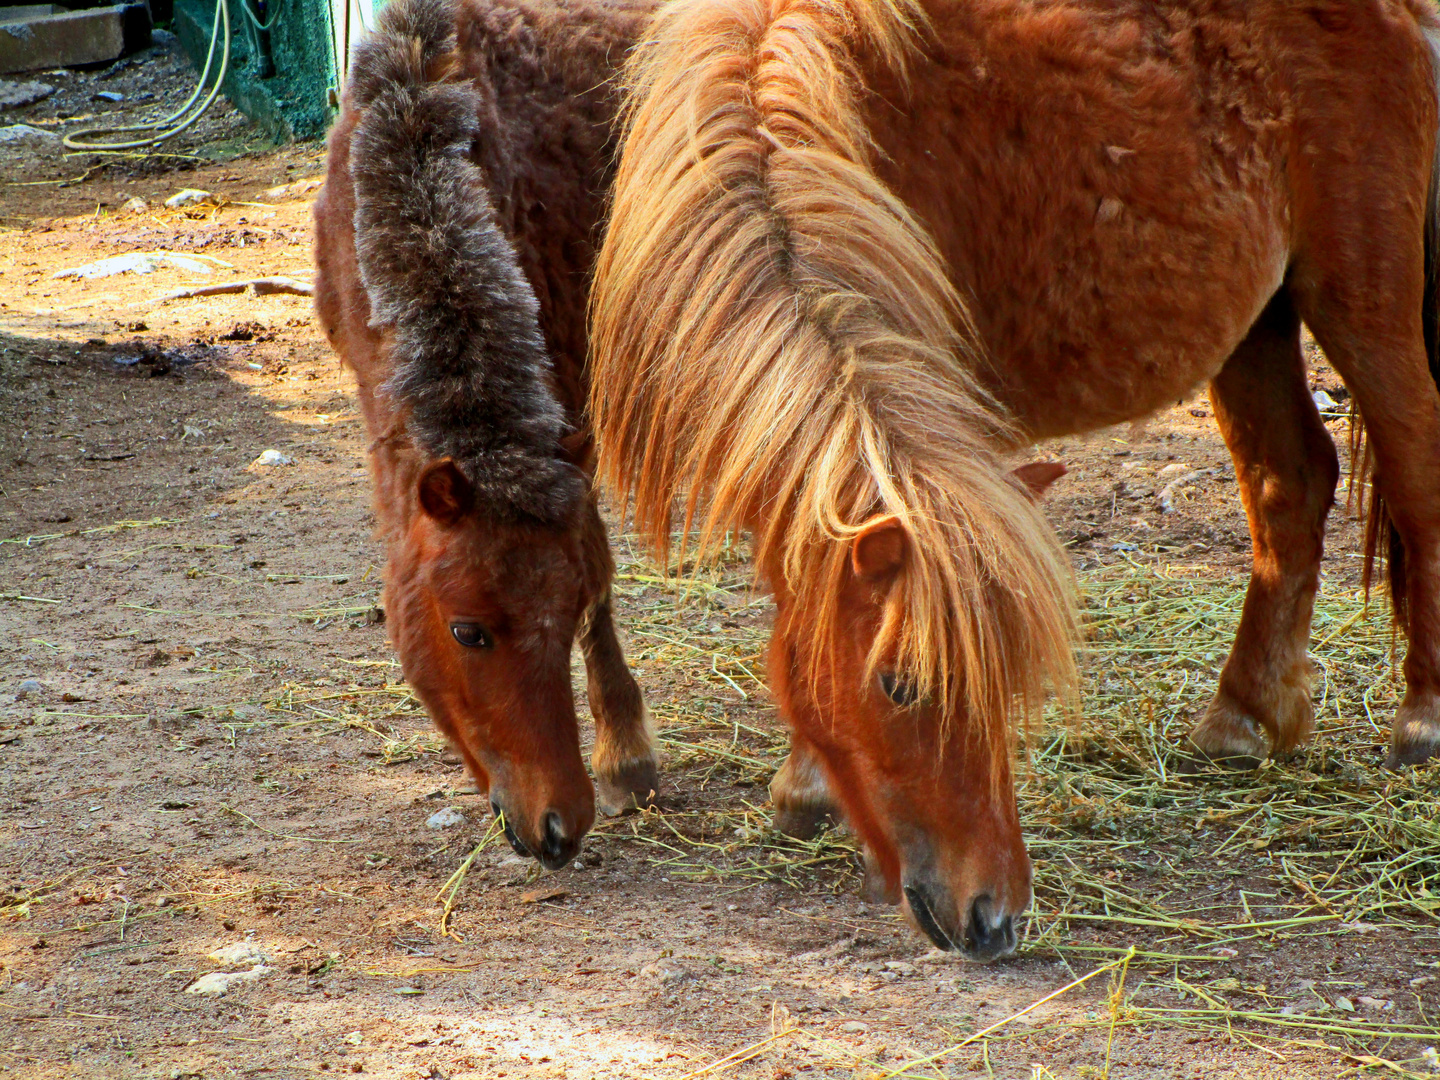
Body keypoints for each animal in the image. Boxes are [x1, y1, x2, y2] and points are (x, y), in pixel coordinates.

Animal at [593, 2, 1440, 961]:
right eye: (902, 686)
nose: (993, 917)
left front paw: (804, 786)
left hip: (1360, 296)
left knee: (1416, 465)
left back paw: (1420, 719)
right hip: (1258, 321)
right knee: (1290, 482)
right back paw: (1243, 719)